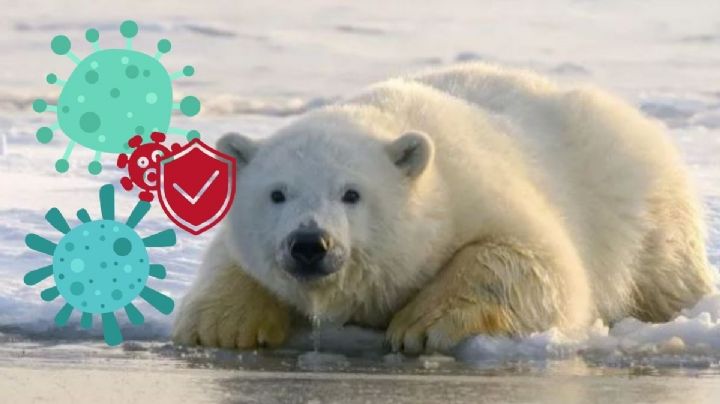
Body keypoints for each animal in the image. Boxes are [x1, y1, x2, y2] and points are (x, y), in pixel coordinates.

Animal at [172, 63, 715, 353]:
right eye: (277, 193)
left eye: (351, 193)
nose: (310, 244)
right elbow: (228, 258)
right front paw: (224, 327)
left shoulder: (477, 190)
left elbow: (537, 262)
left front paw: (420, 326)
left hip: (644, 209)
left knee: (666, 273)